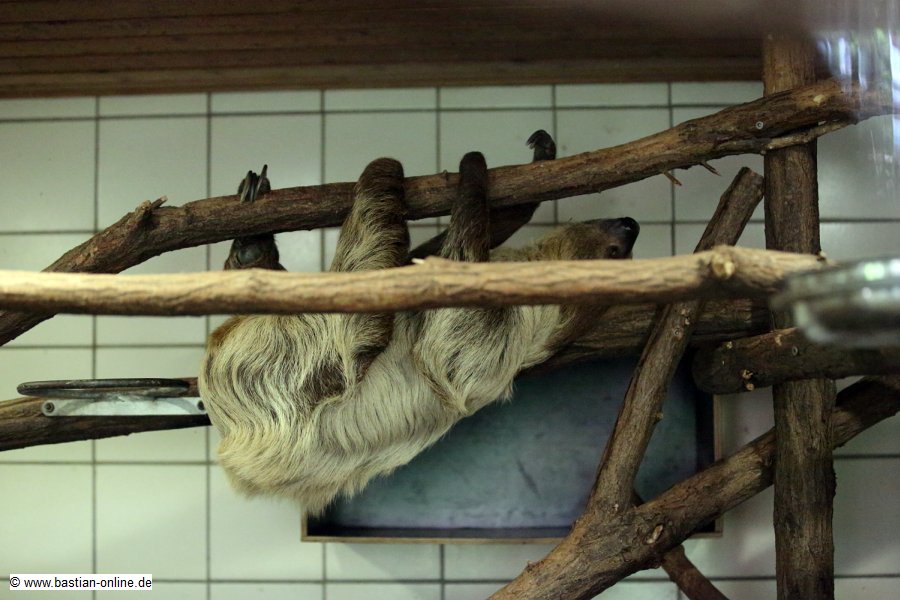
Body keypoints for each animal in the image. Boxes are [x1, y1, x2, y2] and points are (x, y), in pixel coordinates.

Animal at [199, 131, 640, 514]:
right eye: (618, 252)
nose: (631, 225)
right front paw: (534, 169)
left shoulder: (509, 332)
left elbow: (447, 345)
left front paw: (472, 167)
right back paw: (252, 245)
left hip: (288, 360)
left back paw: (378, 175)